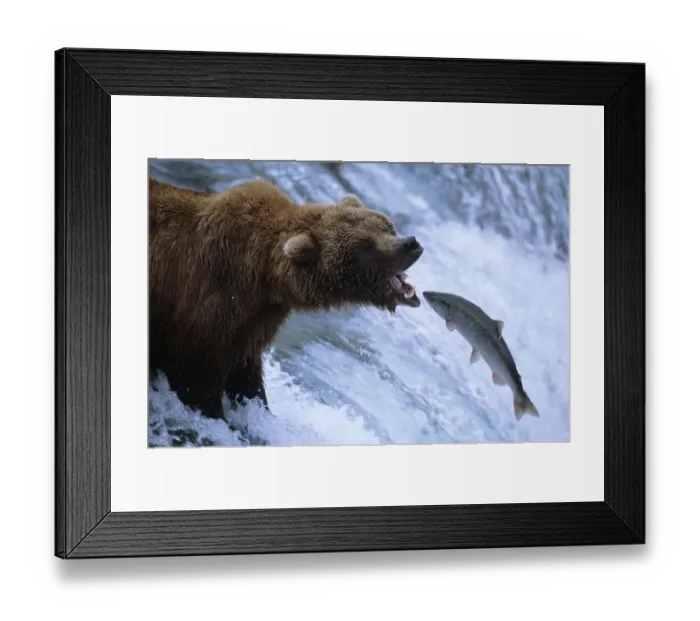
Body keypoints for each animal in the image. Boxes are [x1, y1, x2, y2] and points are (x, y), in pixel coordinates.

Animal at [148, 175, 424, 420]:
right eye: (367, 247)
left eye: (387, 226)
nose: (410, 242)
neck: (263, 275)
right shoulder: (205, 302)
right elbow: (196, 377)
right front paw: (217, 415)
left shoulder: (254, 319)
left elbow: (245, 374)